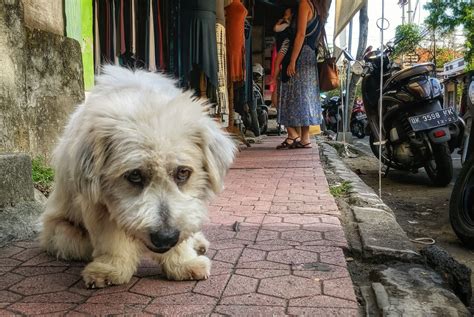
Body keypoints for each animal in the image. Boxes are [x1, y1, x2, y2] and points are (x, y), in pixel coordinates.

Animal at [39, 65, 237, 288]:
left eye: (183, 172)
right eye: (134, 175)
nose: (165, 238)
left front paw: (183, 263)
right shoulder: (98, 205)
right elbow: (111, 237)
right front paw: (111, 268)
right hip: (65, 234)